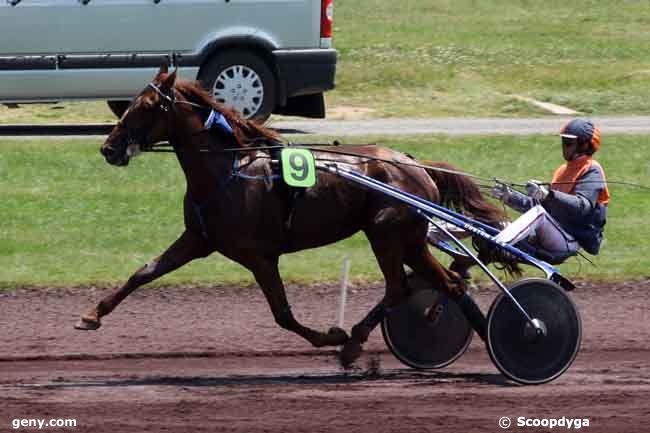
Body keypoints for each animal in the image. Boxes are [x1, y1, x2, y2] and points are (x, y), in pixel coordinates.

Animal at [76, 66, 508, 364]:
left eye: (146, 106)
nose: (108, 148)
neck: (228, 169)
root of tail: (417, 165)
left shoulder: (258, 256)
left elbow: (282, 314)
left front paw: (330, 337)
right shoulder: (198, 239)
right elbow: (144, 272)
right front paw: (91, 315)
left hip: (385, 233)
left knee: (402, 288)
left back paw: (355, 341)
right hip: (409, 239)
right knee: (448, 283)